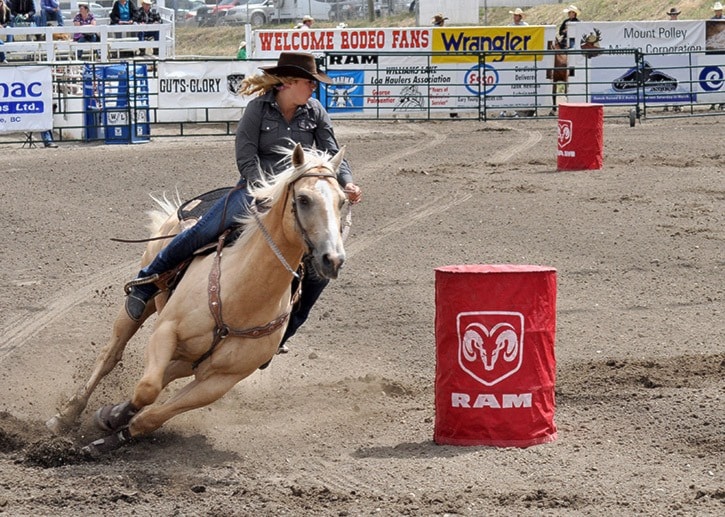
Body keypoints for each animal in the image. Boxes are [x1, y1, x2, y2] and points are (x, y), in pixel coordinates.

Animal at [46, 144, 350, 452]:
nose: (333, 259)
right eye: (303, 199)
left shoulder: (221, 380)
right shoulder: (166, 332)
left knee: (169, 371)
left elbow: (153, 415)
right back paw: (65, 416)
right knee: (111, 354)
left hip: (192, 359)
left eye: (342, 201)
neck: (241, 297)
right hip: (143, 305)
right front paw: (110, 418)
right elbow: (147, 388)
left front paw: (108, 432)